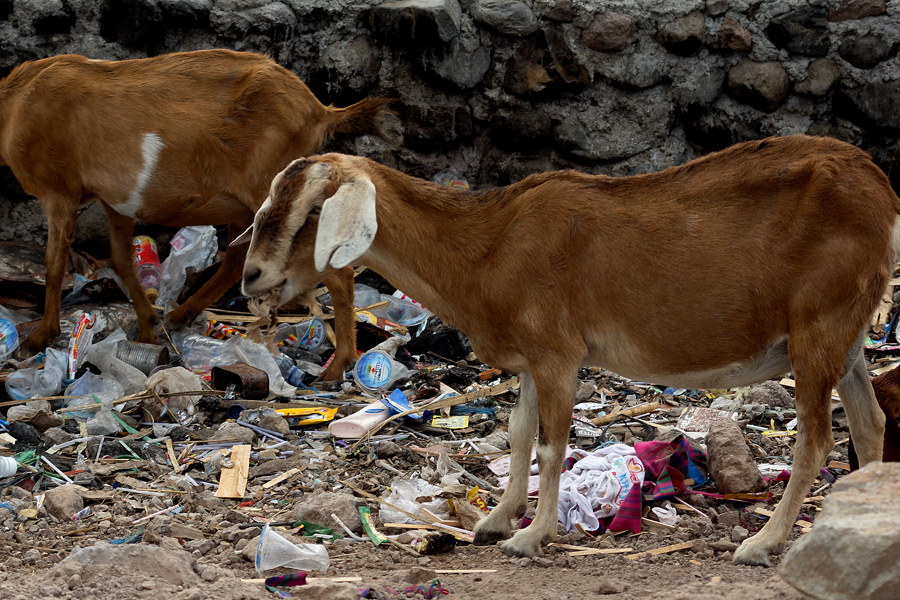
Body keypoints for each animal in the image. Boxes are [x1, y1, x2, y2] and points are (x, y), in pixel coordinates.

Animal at [0, 49, 386, 378]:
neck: (16, 102)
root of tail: (320, 110)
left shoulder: (58, 191)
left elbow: (54, 262)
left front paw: (37, 338)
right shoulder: (117, 201)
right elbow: (122, 260)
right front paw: (148, 330)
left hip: (274, 191)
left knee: (336, 271)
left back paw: (339, 366)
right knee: (235, 262)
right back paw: (179, 315)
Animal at [239, 137, 900, 568]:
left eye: (312, 213)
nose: (250, 277)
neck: (489, 245)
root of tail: (882, 192)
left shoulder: (558, 351)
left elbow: (553, 445)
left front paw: (531, 537)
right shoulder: (535, 358)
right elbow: (518, 432)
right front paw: (495, 519)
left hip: (818, 325)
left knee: (817, 438)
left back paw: (763, 544)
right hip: (847, 336)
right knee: (870, 424)